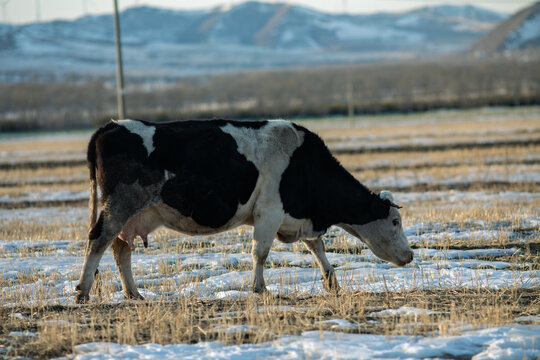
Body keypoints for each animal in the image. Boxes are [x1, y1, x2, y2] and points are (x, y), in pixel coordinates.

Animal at [75, 119, 414, 302]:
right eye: (395, 222)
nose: (410, 255)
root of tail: (110, 126)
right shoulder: (270, 212)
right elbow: (260, 252)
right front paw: (259, 288)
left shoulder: (297, 217)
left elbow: (317, 248)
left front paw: (332, 283)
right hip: (120, 205)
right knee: (97, 240)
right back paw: (82, 291)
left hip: (131, 214)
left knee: (120, 249)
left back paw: (133, 294)